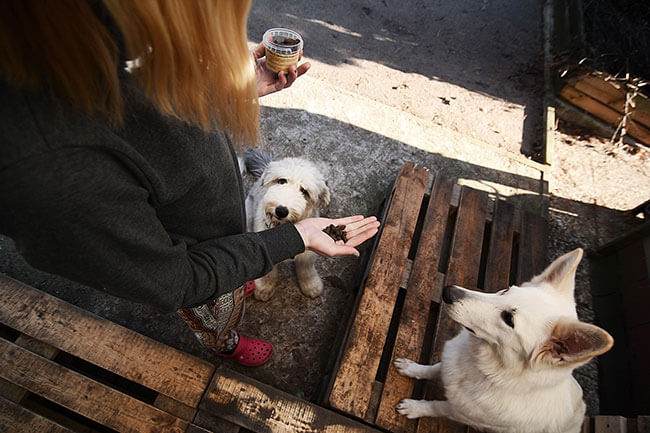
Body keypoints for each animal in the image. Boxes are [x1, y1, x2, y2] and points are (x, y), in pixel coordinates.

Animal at [242, 149, 330, 300]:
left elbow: (306, 269)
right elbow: (268, 272)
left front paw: (311, 285)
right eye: (282, 181)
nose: (281, 210)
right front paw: (264, 287)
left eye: (304, 191)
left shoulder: (307, 254)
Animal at [392, 246, 612, 432]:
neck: (486, 369)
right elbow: (433, 369)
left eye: (508, 319)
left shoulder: (461, 413)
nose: (448, 291)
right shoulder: (448, 363)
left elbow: (437, 407)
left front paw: (414, 408)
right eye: (506, 290)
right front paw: (411, 368)